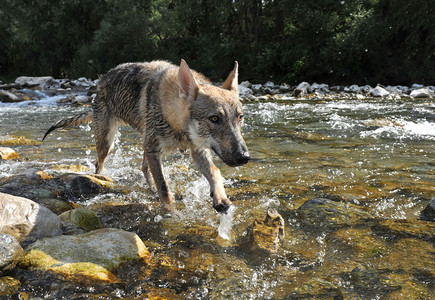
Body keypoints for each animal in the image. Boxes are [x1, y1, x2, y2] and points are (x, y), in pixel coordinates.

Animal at [43, 59, 252, 212]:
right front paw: (171, 213)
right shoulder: (154, 149)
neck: (175, 123)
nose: (244, 157)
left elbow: (215, 172)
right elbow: (164, 189)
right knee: (98, 163)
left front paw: (221, 198)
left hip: (143, 143)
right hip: (107, 142)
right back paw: (101, 178)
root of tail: (100, 82)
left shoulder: (197, 150)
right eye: (215, 118)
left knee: (144, 167)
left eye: (240, 117)